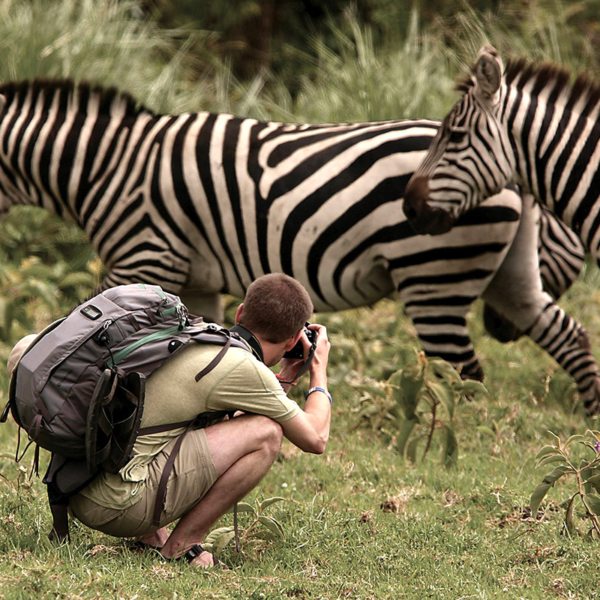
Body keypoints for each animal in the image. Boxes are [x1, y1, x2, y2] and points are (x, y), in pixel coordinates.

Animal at [0, 78, 592, 398]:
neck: (105, 164)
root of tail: (511, 171)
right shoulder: (194, 279)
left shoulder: (144, 256)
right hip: (506, 273)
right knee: (567, 334)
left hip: (435, 276)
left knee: (465, 375)